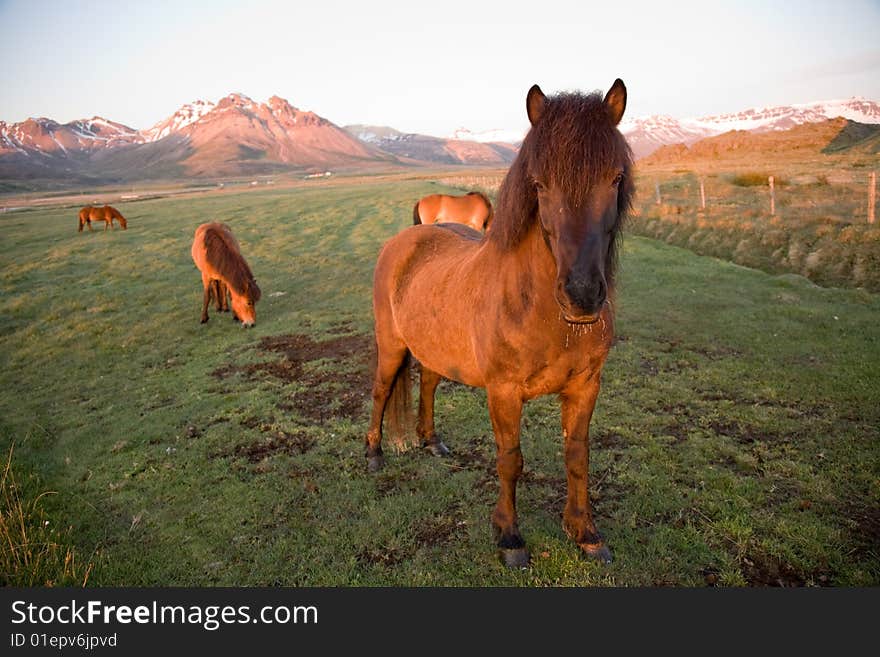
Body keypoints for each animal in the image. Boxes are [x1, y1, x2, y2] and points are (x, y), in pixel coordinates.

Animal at [364, 79, 632, 568]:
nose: (582, 294)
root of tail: (404, 240)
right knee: (380, 390)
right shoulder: (504, 393)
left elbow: (577, 455)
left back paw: (431, 441)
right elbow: (510, 459)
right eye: (539, 183)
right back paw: (373, 453)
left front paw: (584, 531)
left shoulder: (586, 386)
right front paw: (509, 536)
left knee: (429, 383)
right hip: (391, 346)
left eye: (616, 178)